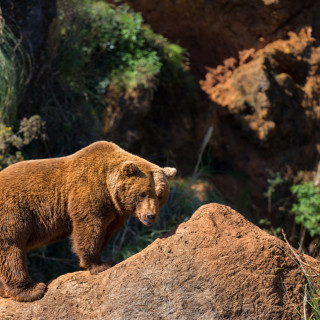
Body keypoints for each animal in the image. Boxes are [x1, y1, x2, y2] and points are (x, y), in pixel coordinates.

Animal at [0, 141, 176, 302]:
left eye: (160, 195)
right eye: (143, 194)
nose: (151, 215)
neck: (109, 189)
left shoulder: (114, 213)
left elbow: (105, 233)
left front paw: (103, 259)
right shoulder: (88, 191)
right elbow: (89, 227)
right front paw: (99, 265)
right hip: (13, 212)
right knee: (12, 249)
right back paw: (32, 289)